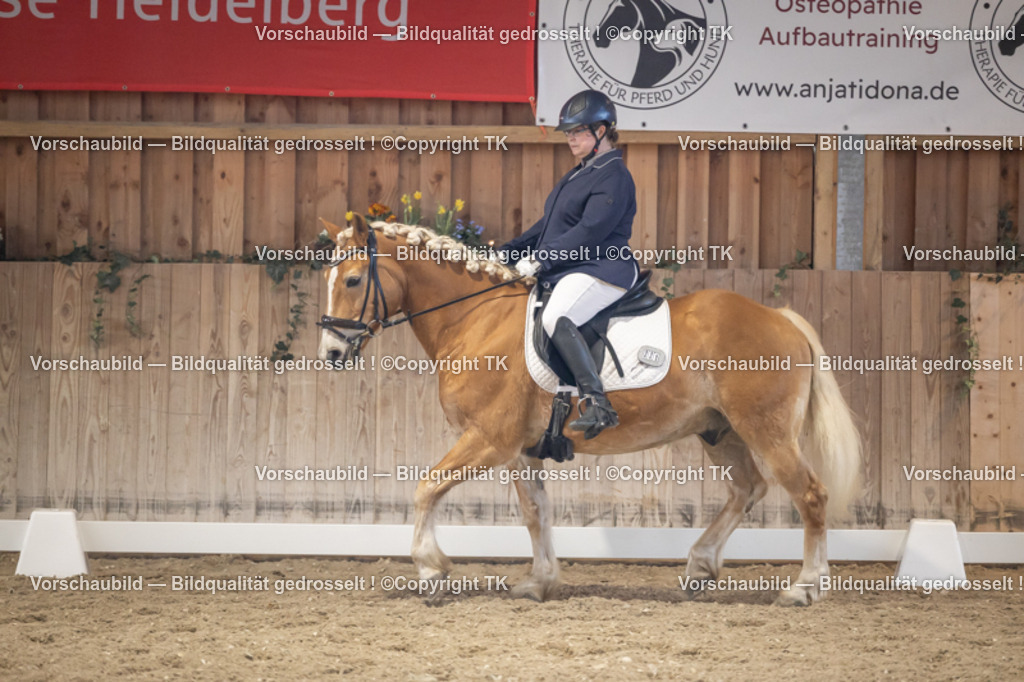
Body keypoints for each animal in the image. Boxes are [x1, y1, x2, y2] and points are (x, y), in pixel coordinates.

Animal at [316, 215, 862, 606]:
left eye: (353, 280)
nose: (331, 352)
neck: (476, 319)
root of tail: (780, 317)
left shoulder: (489, 439)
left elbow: (427, 486)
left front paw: (431, 568)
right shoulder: (521, 450)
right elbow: (535, 512)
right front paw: (539, 581)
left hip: (766, 431)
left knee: (810, 495)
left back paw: (805, 587)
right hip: (720, 432)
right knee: (748, 488)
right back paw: (700, 565)